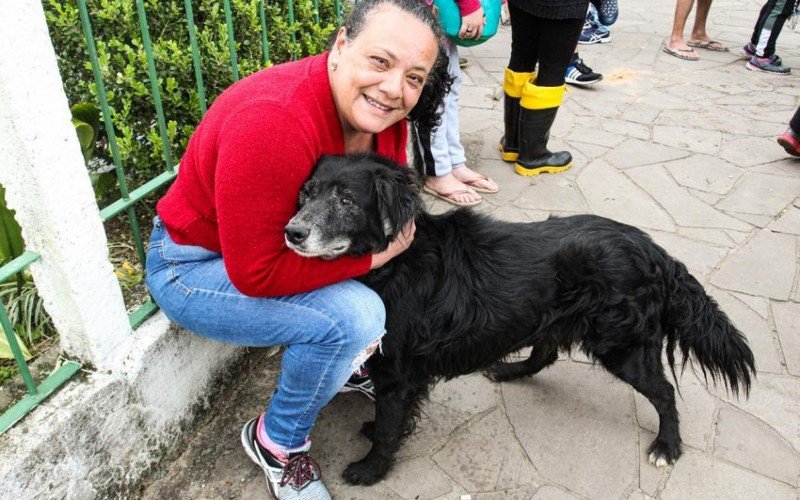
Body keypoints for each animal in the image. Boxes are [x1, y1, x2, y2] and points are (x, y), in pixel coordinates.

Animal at [284, 153, 752, 484]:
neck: (394, 261)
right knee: (545, 354)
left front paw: (371, 470)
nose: (293, 233)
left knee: (665, 393)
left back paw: (667, 446)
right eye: (307, 193)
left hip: (622, 346)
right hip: (552, 318)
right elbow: (386, 420)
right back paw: (509, 370)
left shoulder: (398, 374)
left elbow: (387, 428)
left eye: (347, 200)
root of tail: (654, 251)